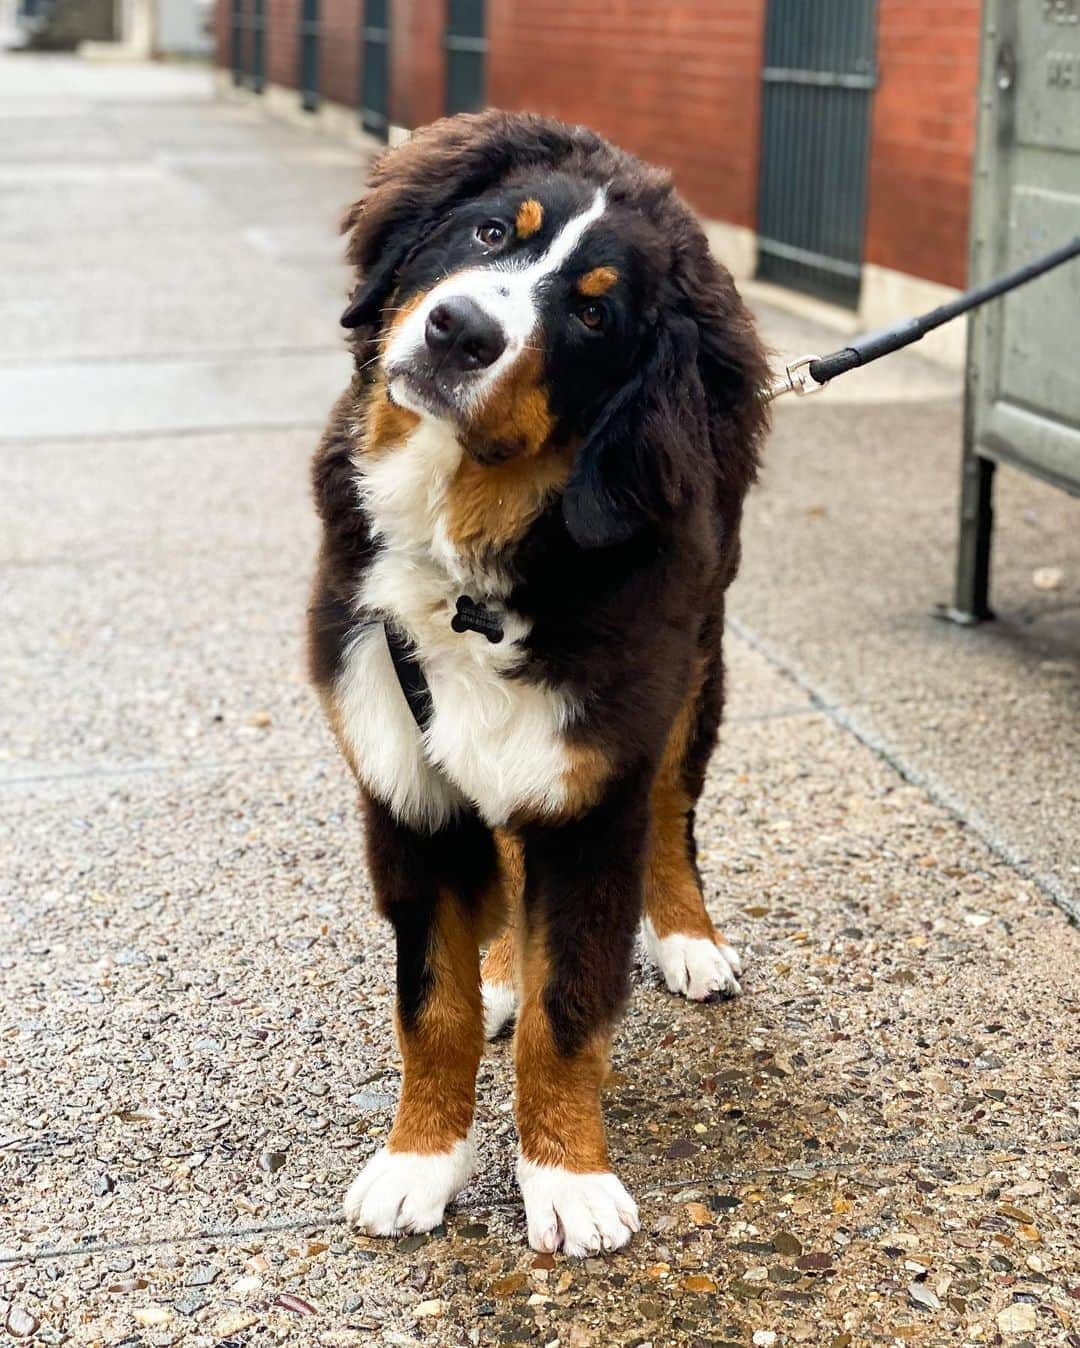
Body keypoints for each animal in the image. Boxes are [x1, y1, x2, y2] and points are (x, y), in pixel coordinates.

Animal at [307, 110, 771, 1256]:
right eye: (487, 231)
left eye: (594, 311)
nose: (460, 331)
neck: (470, 553)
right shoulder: (405, 785)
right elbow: (429, 1005)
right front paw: (420, 1158)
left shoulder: (593, 787)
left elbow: (568, 1016)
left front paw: (566, 1174)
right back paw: (502, 972)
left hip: (694, 671)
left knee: (674, 814)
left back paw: (687, 937)